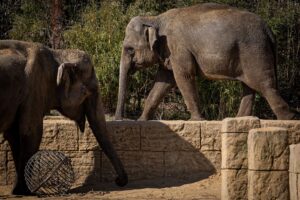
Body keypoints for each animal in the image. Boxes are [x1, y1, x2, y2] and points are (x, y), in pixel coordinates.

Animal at [0, 39, 127, 195]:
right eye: (87, 92)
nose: (118, 181)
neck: (57, 54)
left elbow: (14, 135)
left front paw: (18, 191)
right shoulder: (34, 90)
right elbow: (31, 133)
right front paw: (27, 191)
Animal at [115, 2, 296, 120]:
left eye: (129, 49)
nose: (120, 119)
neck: (155, 18)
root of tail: (268, 30)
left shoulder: (178, 47)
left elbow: (183, 77)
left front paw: (197, 121)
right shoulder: (168, 52)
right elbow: (163, 82)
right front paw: (142, 121)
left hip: (255, 52)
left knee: (264, 85)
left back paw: (288, 119)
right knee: (250, 86)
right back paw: (238, 119)